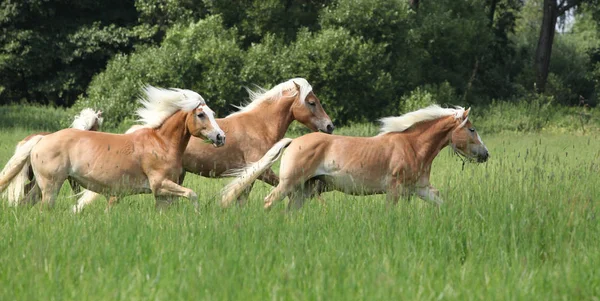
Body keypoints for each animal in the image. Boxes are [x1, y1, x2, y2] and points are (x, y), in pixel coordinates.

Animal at [0, 85, 225, 210]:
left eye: (212, 113)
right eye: (201, 114)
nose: (221, 137)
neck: (161, 144)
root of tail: (41, 140)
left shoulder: (163, 195)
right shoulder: (160, 185)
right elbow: (193, 194)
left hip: (40, 186)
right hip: (51, 186)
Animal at [220, 105, 488, 209]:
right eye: (472, 129)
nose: (486, 154)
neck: (413, 146)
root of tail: (293, 141)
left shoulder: (419, 189)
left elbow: (442, 202)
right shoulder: (395, 189)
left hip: (306, 189)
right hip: (290, 184)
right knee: (269, 202)